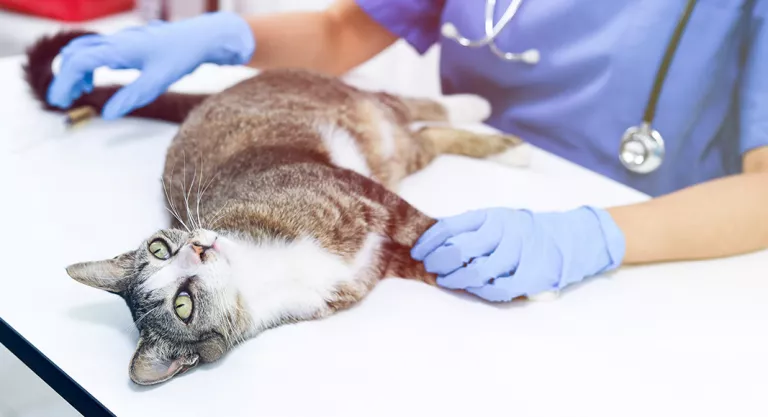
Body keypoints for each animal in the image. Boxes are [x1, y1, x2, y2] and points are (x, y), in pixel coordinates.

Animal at [22, 30, 528, 386]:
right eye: (183, 305)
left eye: (160, 249)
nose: (198, 250)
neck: (261, 270)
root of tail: (212, 97)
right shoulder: (376, 262)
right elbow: (435, 260)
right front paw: (511, 282)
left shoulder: (361, 193)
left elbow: (426, 229)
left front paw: (511, 266)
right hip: (394, 152)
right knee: (424, 136)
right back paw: (505, 144)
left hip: (351, 106)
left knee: (414, 107)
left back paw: (477, 109)